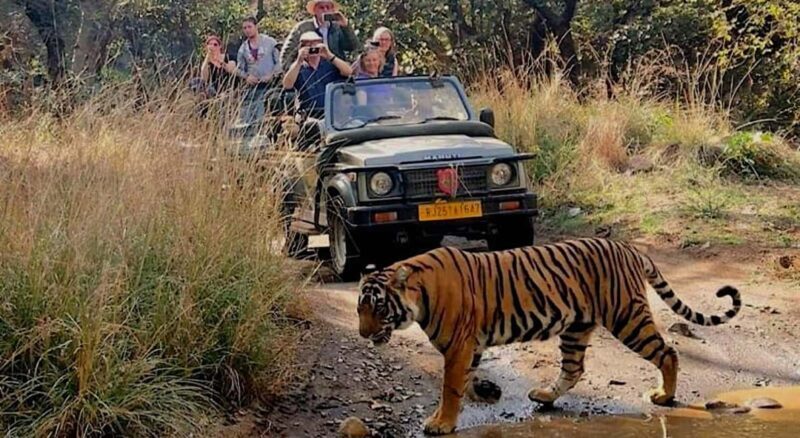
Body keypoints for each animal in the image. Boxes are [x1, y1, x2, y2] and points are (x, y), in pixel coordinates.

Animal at [357, 238, 741, 435]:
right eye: (360, 310)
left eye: (378, 307)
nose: (363, 334)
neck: (419, 296)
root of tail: (628, 248)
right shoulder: (470, 347)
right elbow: (462, 382)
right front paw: (475, 398)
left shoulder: (459, 346)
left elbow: (450, 388)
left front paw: (441, 423)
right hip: (577, 327)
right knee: (574, 369)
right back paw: (543, 396)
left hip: (627, 317)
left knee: (667, 352)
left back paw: (664, 396)